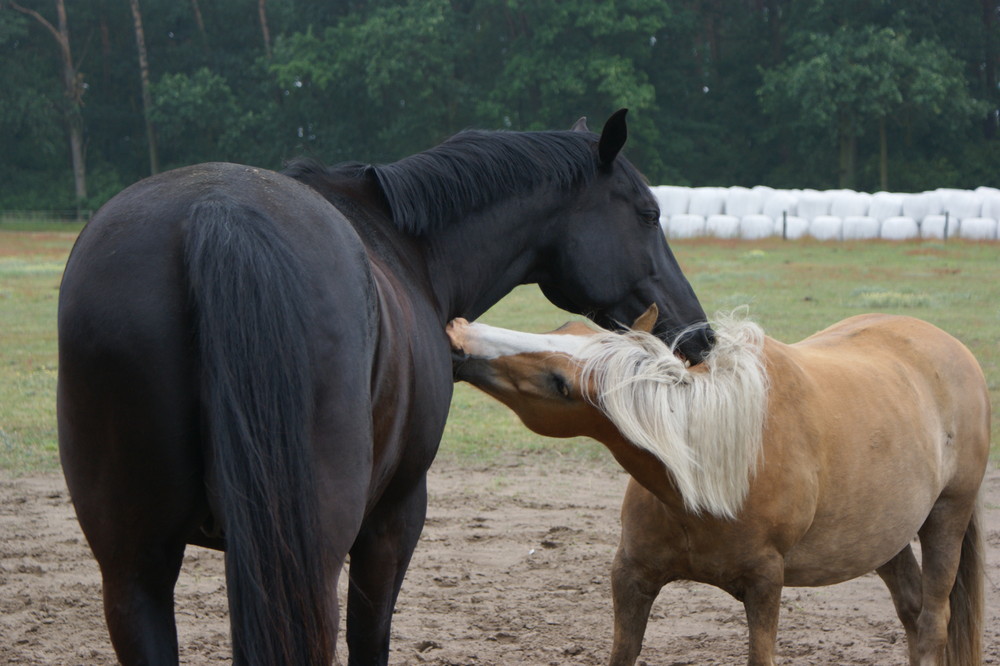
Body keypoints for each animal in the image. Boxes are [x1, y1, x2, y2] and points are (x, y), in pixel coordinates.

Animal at [56, 110, 720, 664]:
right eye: (649, 214)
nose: (699, 335)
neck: (409, 250)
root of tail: (213, 212)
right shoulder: (393, 519)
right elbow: (369, 641)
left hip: (134, 567)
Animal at [450, 308, 988, 660]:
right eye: (564, 327)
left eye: (560, 383)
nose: (461, 335)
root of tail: (950, 347)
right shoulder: (631, 577)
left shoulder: (765, 585)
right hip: (882, 537)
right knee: (912, 610)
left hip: (947, 516)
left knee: (931, 623)